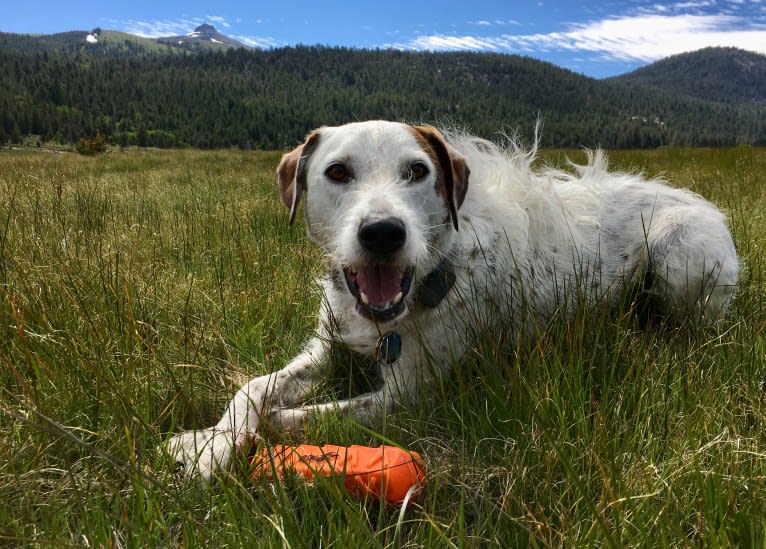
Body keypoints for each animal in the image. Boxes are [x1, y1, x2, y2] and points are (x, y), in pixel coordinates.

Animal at [170, 121, 744, 480]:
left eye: (417, 171)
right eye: (337, 172)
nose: (383, 232)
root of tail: (702, 201)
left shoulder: (403, 397)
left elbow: (285, 418)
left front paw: (232, 440)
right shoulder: (326, 348)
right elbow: (253, 388)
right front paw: (211, 442)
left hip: (679, 259)